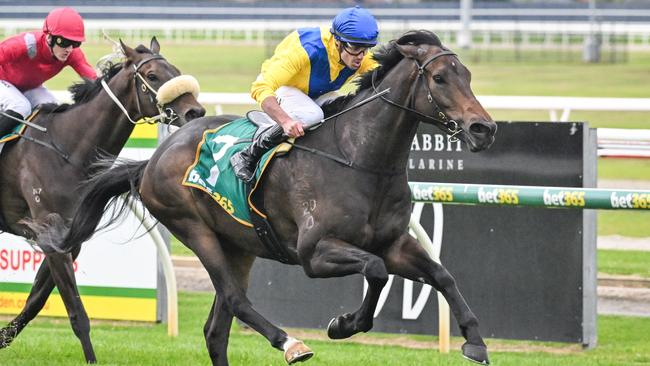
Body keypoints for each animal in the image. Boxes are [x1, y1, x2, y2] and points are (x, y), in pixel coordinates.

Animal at [0, 38, 205, 364]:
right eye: (153, 76)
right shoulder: (51, 238)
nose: (195, 112)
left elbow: (35, 300)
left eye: (176, 70)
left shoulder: (67, 239)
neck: (67, 150)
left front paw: (2, 338)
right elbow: (77, 313)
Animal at [53, 30, 494, 364]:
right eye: (439, 78)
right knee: (234, 299)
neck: (360, 159)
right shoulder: (315, 253)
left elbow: (441, 275)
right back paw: (290, 342)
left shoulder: (394, 243)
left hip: (238, 245)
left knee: (216, 329)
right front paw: (344, 325)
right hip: (193, 228)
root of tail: (152, 160)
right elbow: (375, 270)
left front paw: (475, 341)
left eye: (469, 75)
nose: (483, 129)